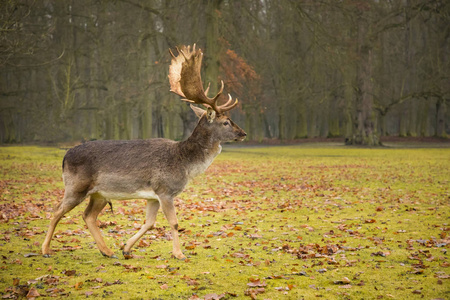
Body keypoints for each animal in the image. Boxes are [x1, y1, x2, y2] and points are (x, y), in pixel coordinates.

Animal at [41, 44, 246, 260]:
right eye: (226, 122)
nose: (243, 133)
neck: (185, 164)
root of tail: (64, 157)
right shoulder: (165, 190)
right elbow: (174, 223)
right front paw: (179, 254)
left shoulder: (152, 196)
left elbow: (149, 224)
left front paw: (126, 248)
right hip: (75, 187)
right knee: (56, 211)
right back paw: (46, 250)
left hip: (99, 194)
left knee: (88, 215)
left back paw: (108, 251)